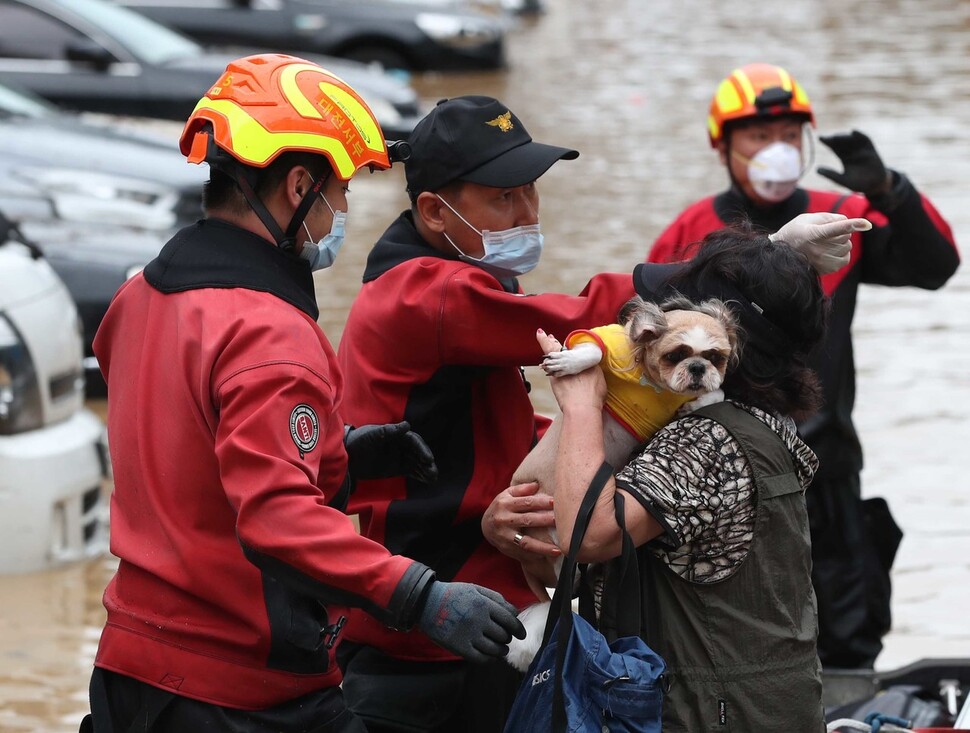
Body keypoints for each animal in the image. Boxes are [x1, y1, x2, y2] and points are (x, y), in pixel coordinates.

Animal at [502, 294, 736, 672]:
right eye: (676, 354)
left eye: (716, 357)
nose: (699, 368)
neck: (657, 384)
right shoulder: (609, 343)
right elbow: (594, 350)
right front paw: (570, 361)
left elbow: (718, 393)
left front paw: (698, 401)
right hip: (552, 534)